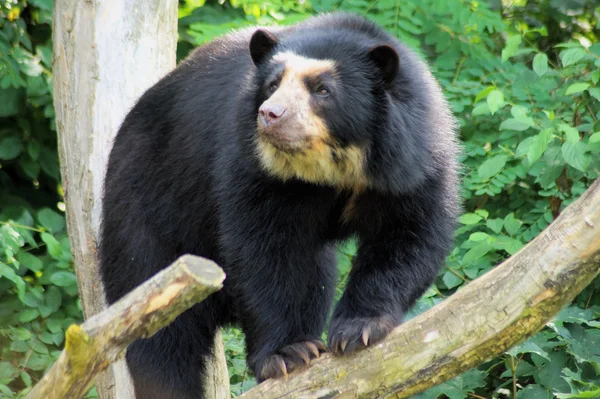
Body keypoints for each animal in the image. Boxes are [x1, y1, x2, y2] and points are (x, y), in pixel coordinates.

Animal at [101, 11, 462, 399]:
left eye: (323, 90)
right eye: (272, 84)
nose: (270, 114)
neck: (329, 169)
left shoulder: (412, 164)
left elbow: (408, 234)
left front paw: (357, 330)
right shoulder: (257, 171)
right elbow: (268, 252)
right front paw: (288, 354)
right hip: (148, 211)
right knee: (162, 333)